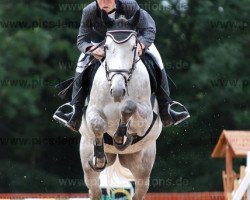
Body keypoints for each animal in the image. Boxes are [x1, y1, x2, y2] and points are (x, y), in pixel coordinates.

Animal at [79, 10, 163, 200]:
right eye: (106, 48)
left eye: (133, 48)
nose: (117, 90)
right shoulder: (92, 110)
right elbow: (97, 124)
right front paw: (100, 155)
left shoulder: (146, 117)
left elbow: (129, 106)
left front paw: (120, 136)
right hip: (87, 160)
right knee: (94, 190)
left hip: (142, 165)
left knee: (139, 191)